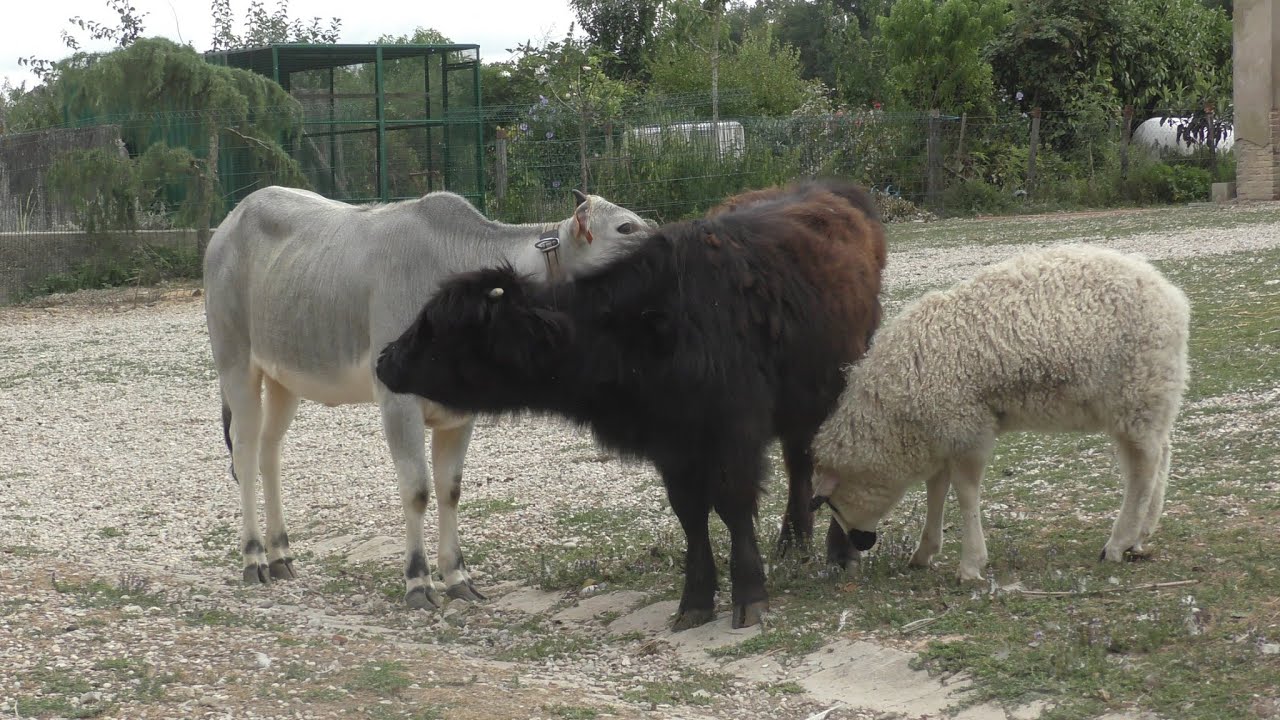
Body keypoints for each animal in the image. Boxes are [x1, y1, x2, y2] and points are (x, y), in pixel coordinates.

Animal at [809, 244, 1190, 581]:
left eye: (833, 505)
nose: (862, 543)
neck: (894, 416)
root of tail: (1170, 295)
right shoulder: (945, 430)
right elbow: (937, 488)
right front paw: (924, 552)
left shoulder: (967, 428)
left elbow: (965, 493)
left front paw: (970, 565)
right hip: (1148, 398)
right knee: (1158, 456)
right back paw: (1140, 537)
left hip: (1137, 391)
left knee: (1143, 468)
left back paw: (1117, 544)